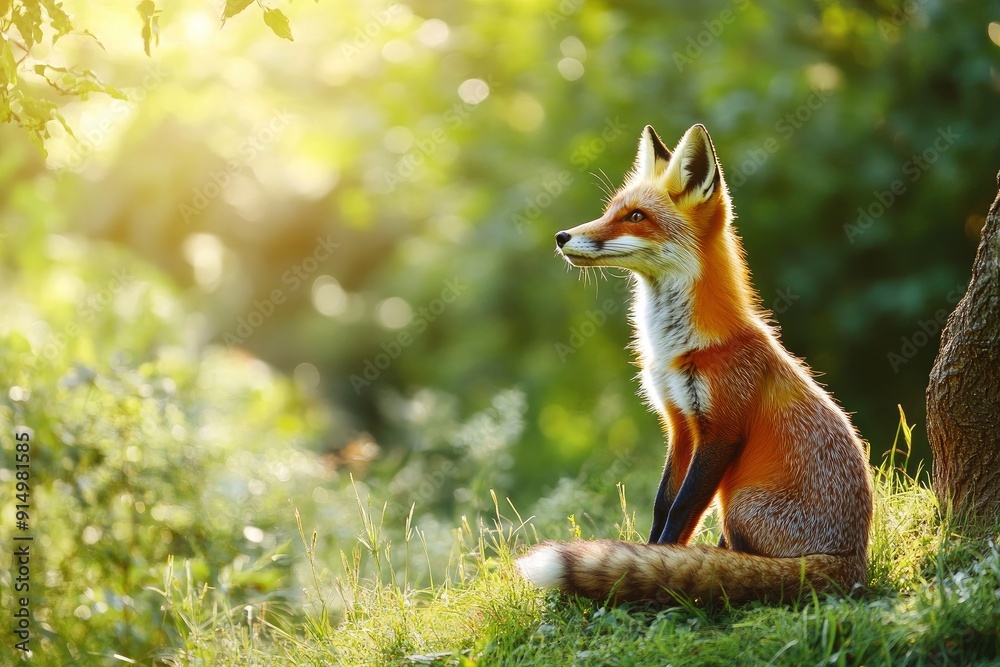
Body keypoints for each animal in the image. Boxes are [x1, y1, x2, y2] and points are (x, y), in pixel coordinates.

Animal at [517, 123, 873, 605]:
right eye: (610, 211)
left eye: (635, 217)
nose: (562, 237)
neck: (679, 349)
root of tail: (853, 561)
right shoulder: (680, 423)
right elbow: (662, 505)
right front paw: (651, 556)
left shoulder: (721, 428)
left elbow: (683, 508)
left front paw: (656, 571)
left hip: (739, 504)